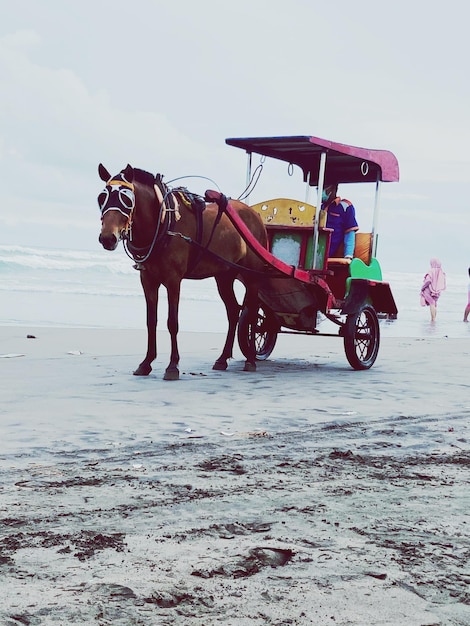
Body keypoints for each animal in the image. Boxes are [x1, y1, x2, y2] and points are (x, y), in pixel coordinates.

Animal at [97, 163, 266, 378]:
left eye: (126, 199)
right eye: (101, 198)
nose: (107, 238)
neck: (163, 221)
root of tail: (255, 214)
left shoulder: (173, 280)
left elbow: (172, 322)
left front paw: (173, 365)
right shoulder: (147, 279)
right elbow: (151, 321)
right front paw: (146, 362)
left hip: (252, 276)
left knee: (251, 314)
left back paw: (251, 359)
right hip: (224, 275)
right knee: (233, 311)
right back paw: (222, 359)